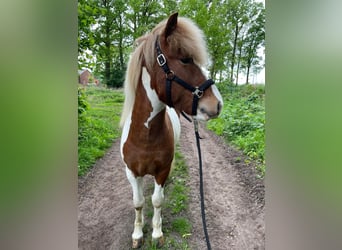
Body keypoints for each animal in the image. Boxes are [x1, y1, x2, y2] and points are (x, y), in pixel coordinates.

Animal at [121, 12, 224, 248]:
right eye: (185, 59)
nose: (217, 104)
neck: (144, 137)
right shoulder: (131, 172)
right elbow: (138, 202)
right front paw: (137, 234)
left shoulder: (162, 170)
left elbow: (157, 200)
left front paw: (157, 233)